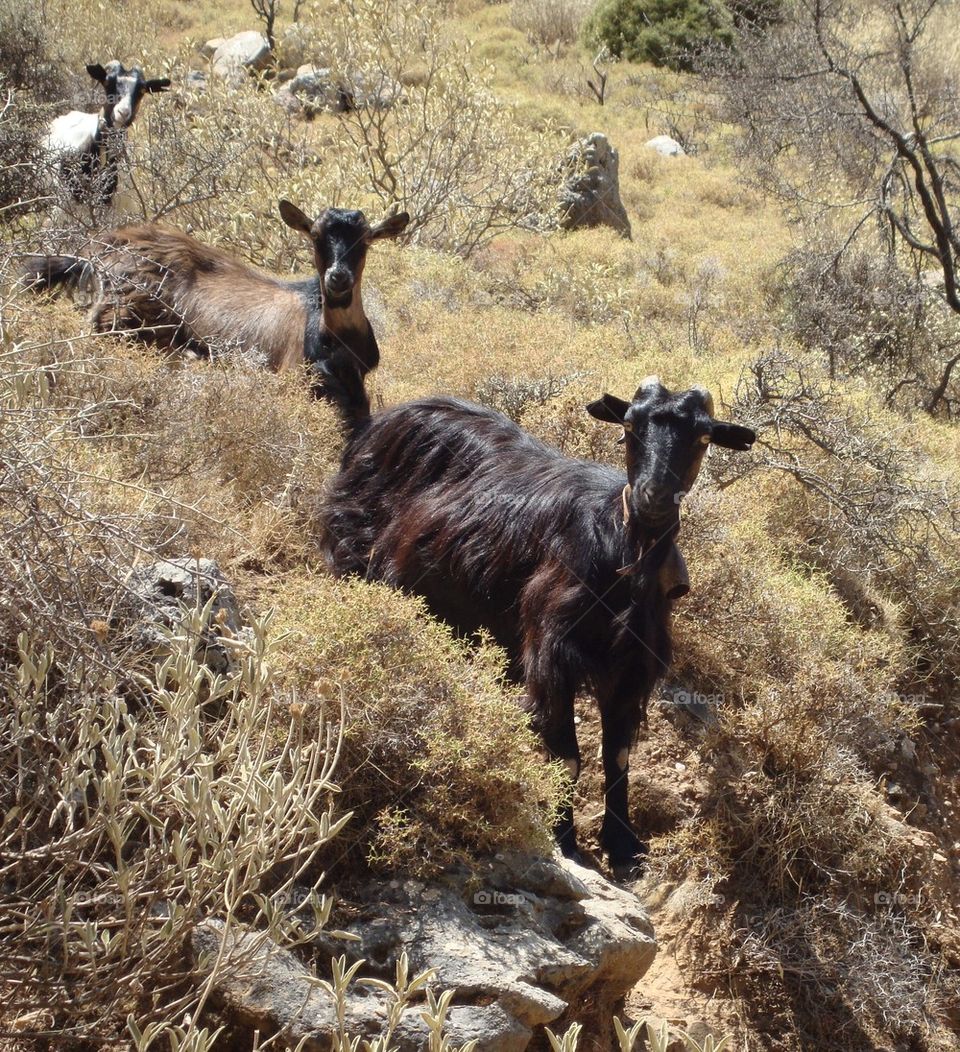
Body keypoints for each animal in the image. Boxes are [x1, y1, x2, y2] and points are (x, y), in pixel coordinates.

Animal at [321, 378, 757, 871]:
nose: (654, 497)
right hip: (356, 557)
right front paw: (564, 840)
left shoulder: (631, 663)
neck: (622, 548)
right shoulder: (552, 651)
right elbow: (567, 756)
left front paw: (623, 845)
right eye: (629, 426)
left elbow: (618, 756)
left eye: (703, 437)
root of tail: (372, 426)